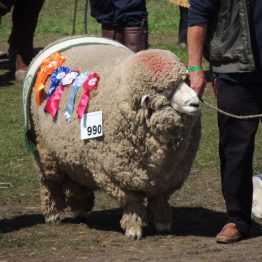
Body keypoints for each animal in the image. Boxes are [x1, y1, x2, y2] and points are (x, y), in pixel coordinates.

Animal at [24, 35, 201, 238]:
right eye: (165, 91)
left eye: (185, 81)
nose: (196, 102)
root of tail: (65, 39)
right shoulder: (117, 175)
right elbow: (132, 203)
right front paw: (133, 229)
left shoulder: (168, 177)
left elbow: (159, 199)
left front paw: (162, 223)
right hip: (43, 149)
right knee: (50, 182)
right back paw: (52, 214)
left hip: (71, 150)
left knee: (75, 179)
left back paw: (79, 209)